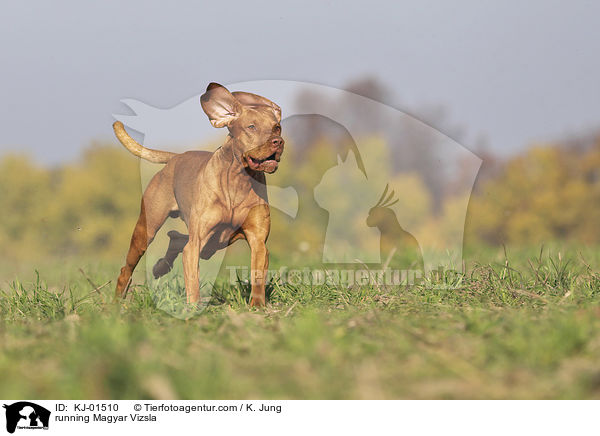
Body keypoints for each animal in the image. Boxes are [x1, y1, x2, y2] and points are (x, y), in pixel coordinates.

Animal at [113, 82, 284, 306]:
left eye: (277, 127)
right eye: (251, 127)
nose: (277, 142)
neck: (238, 182)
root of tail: (176, 157)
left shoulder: (258, 241)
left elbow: (257, 275)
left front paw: (257, 306)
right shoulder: (196, 243)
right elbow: (193, 277)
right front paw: (193, 307)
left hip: (213, 242)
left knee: (177, 238)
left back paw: (160, 267)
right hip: (146, 230)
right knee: (128, 268)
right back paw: (116, 302)